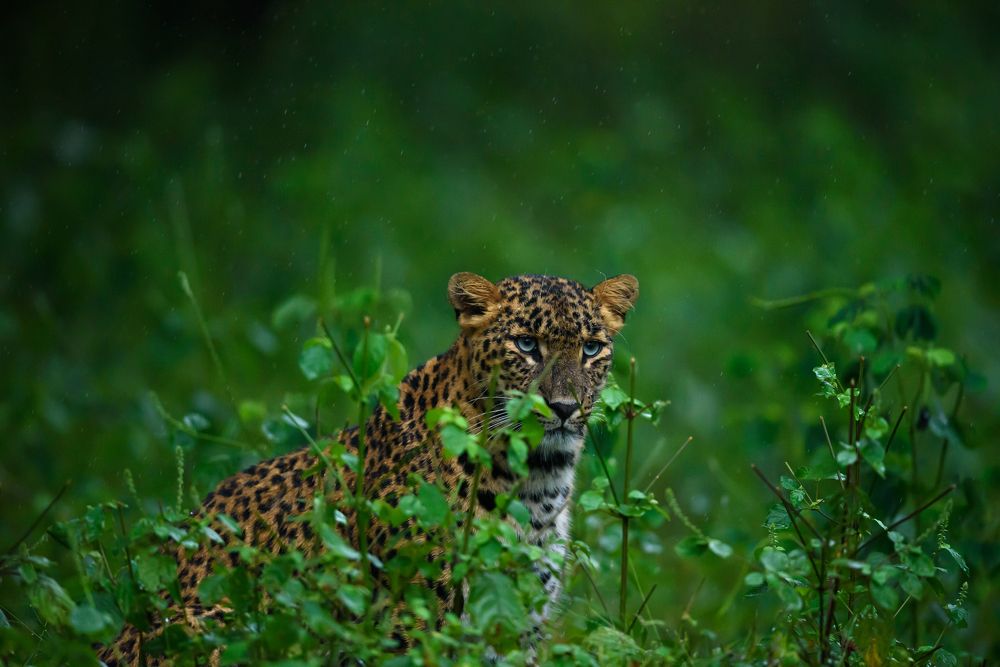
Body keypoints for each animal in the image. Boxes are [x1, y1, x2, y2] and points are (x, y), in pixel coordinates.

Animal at [98, 272, 638, 666]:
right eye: (526, 345)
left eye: (591, 348)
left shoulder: (514, 622)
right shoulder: (415, 622)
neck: (538, 482)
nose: (564, 408)